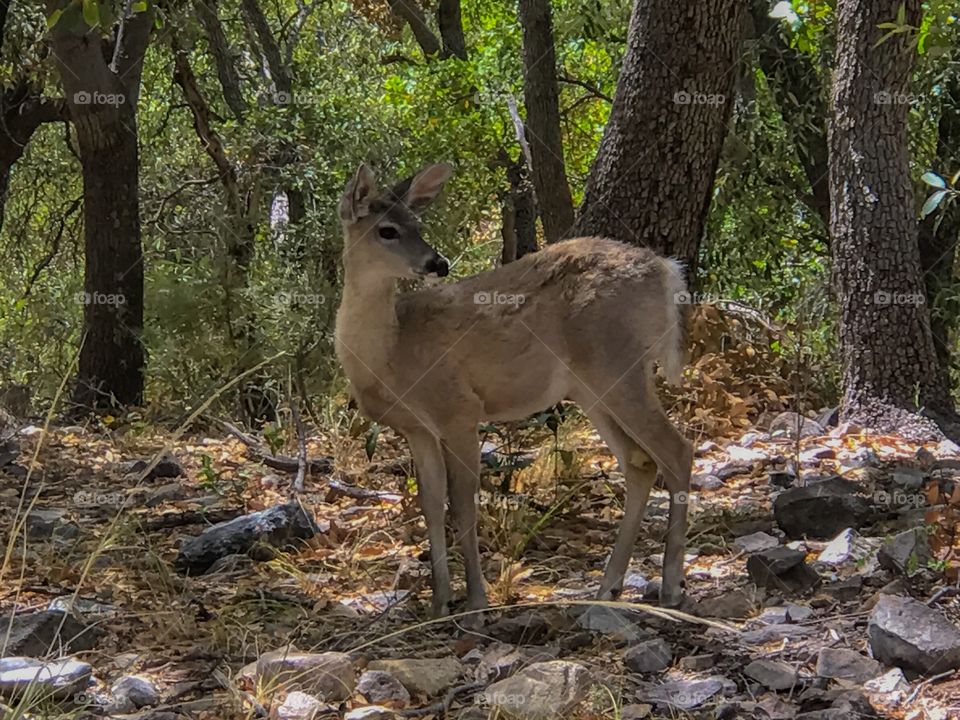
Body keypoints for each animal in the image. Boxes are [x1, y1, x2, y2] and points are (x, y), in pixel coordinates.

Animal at [336, 163, 688, 620]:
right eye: (388, 230)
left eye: (418, 224)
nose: (438, 263)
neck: (392, 352)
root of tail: (667, 271)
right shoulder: (418, 429)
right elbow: (431, 506)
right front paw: (439, 602)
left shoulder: (459, 409)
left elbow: (462, 504)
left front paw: (476, 604)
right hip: (591, 386)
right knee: (639, 462)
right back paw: (607, 586)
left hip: (616, 363)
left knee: (676, 450)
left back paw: (671, 586)